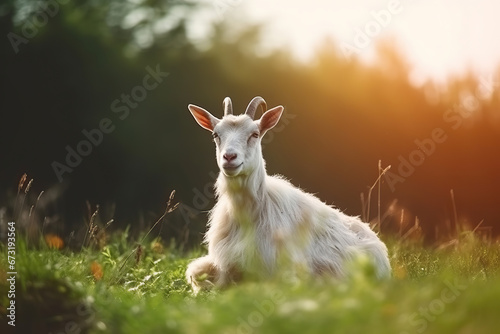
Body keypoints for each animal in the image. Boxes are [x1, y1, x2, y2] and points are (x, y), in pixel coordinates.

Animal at [186, 96, 392, 292]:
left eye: (255, 134)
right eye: (216, 134)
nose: (229, 157)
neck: (248, 214)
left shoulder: (283, 270)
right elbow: (195, 273)